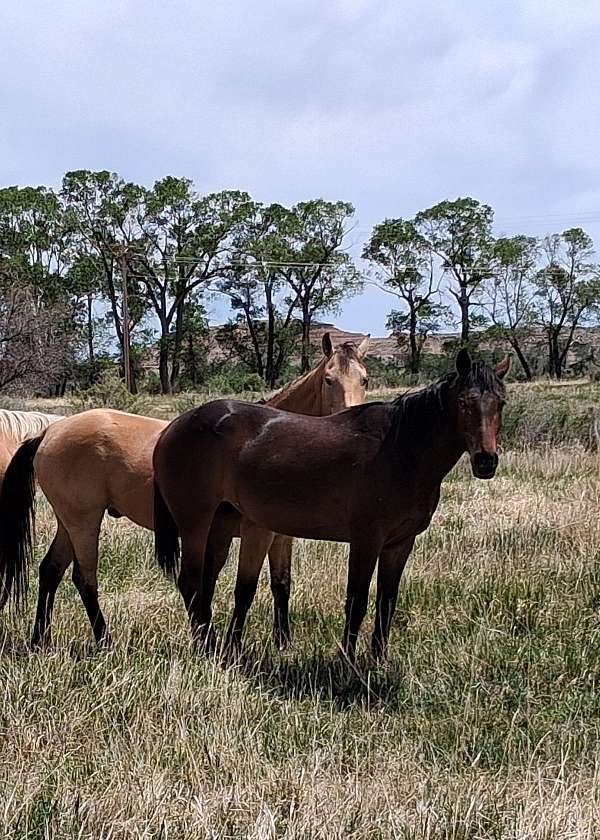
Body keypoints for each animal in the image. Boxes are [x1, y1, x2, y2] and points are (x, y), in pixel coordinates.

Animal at [0, 333, 370, 647]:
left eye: (364, 379)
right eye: (328, 379)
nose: (351, 419)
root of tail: (50, 431)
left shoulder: (280, 536)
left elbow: (281, 584)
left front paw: (283, 643)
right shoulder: (255, 531)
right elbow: (245, 587)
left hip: (69, 522)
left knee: (50, 570)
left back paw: (40, 640)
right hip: (85, 522)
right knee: (84, 577)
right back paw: (105, 640)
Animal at [153, 350, 510, 662]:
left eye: (501, 402)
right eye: (463, 404)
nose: (486, 461)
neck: (400, 450)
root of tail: (173, 427)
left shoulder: (399, 543)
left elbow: (387, 602)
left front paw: (378, 660)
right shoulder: (366, 541)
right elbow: (357, 601)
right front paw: (347, 662)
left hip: (222, 525)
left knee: (204, 584)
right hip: (195, 524)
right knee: (190, 582)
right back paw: (210, 648)